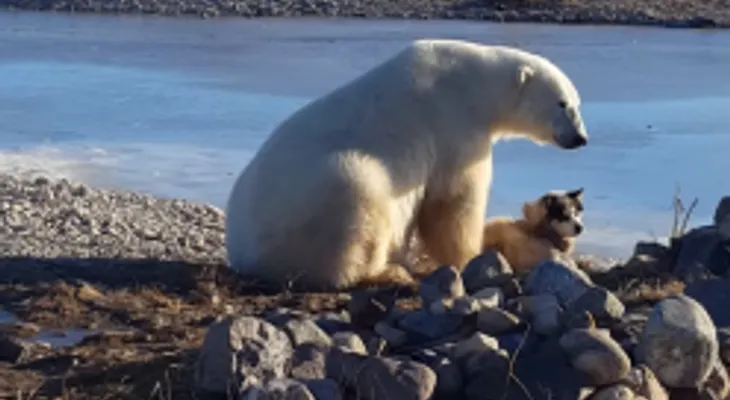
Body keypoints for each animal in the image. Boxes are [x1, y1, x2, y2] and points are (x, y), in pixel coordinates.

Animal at [224, 38, 589, 291]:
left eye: (577, 103)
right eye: (562, 104)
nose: (580, 138)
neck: (472, 83)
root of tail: (242, 253)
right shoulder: (453, 124)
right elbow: (453, 201)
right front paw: (473, 254)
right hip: (313, 201)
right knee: (358, 196)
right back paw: (387, 272)